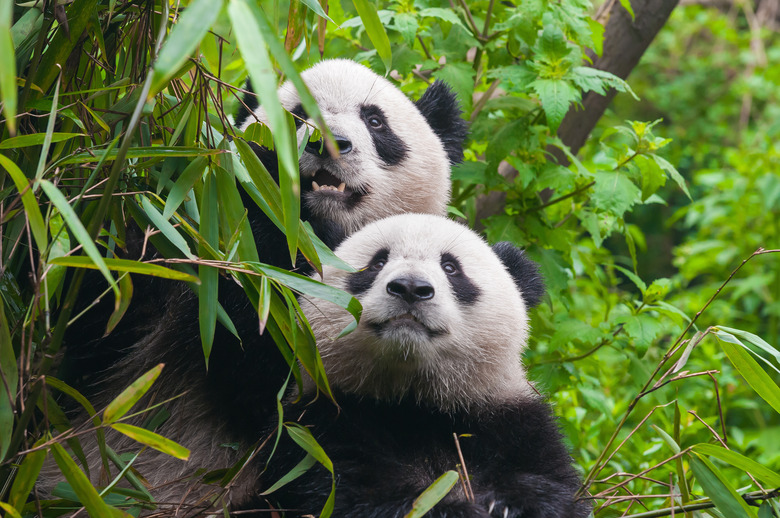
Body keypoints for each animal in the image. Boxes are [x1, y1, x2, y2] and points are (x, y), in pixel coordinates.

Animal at [251, 213, 592, 516]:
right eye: (377, 263)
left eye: (451, 267)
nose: (410, 287)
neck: (417, 398)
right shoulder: (319, 422)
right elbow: (349, 490)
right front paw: (451, 510)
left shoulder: (512, 422)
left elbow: (550, 483)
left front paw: (512, 505)